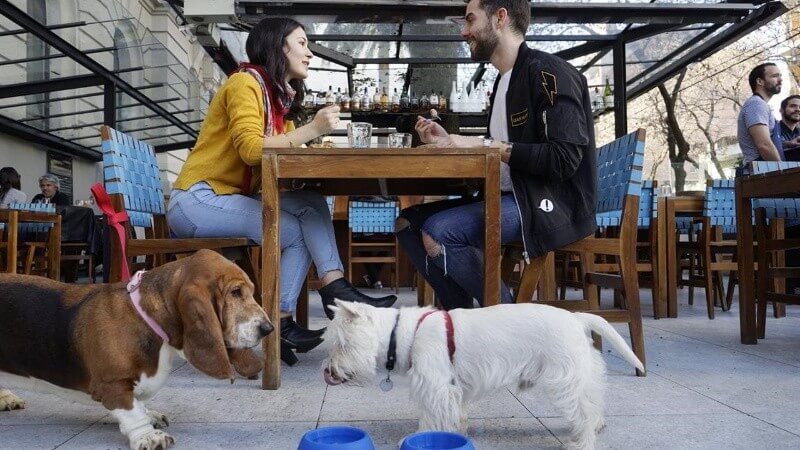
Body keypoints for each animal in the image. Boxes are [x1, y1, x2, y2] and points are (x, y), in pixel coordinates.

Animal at [0, 250, 272, 450]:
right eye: (235, 292)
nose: (268, 328)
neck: (146, 318)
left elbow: (139, 403)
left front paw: (150, 416)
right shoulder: (113, 385)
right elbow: (132, 411)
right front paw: (148, 436)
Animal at [322, 298, 640, 450]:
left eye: (341, 344)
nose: (328, 371)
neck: (402, 334)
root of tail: (576, 317)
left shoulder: (435, 385)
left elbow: (429, 415)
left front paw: (419, 437)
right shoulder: (452, 388)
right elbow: (454, 413)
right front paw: (456, 429)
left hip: (564, 378)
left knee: (583, 412)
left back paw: (581, 442)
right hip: (582, 373)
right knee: (593, 400)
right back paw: (597, 425)